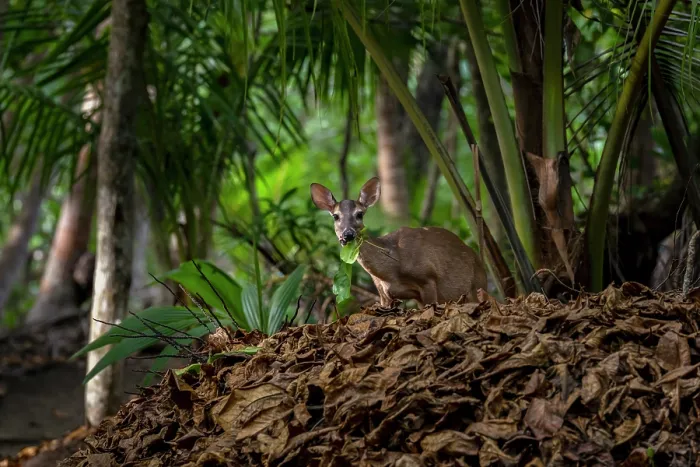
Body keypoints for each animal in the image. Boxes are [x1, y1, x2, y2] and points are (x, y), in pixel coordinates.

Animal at [310, 176, 488, 307]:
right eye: (336, 216)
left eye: (359, 214)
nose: (347, 234)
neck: (392, 270)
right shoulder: (383, 293)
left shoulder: (428, 278)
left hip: (476, 285)